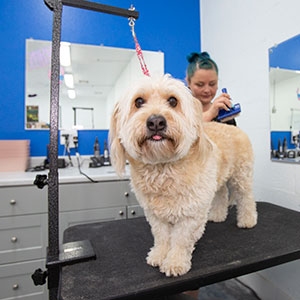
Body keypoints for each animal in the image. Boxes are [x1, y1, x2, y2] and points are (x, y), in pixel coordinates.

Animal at [109, 74, 256, 276]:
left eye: (173, 101)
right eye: (138, 102)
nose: (156, 122)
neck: (163, 168)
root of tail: (235, 129)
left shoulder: (191, 213)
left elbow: (180, 240)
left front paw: (175, 262)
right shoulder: (155, 214)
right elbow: (162, 236)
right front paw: (158, 255)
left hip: (241, 176)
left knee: (246, 198)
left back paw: (248, 220)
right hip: (216, 182)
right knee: (221, 194)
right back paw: (217, 216)